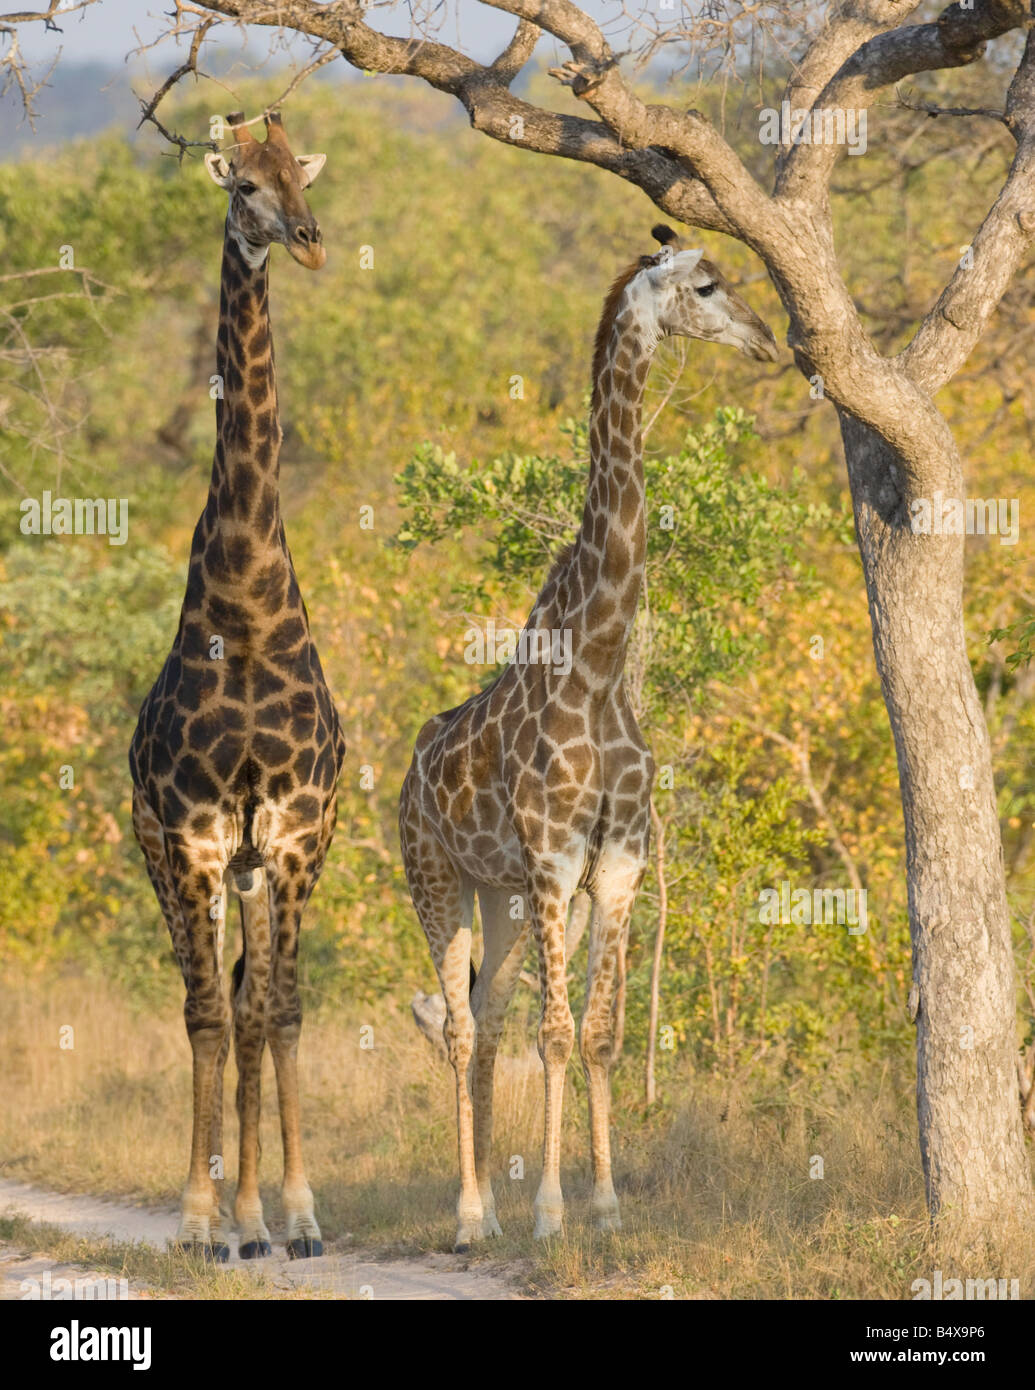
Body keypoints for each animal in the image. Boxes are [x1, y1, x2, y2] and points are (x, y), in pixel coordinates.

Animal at [400, 227, 777, 1251]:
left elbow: (600, 1034)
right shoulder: (556, 858)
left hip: (500, 894)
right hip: (436, 877)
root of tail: (405, 776)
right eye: (706, 285)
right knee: (460, 1026)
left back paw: (485, 1208)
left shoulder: (617, 861)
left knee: (485, 1021)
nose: (770, 343)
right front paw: (551, 1213)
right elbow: (558, 1033)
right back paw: (469, 1216)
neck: (600, 663)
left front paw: (604, 1206)